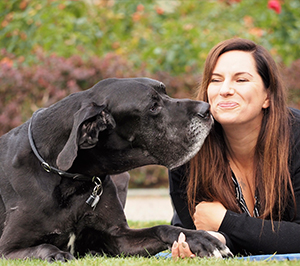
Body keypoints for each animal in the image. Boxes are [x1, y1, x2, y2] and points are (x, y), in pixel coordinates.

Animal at [0, 78, 231, 260]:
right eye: (153, 106)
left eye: (164, 92)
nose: (206, 109)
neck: (73, 180)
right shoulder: (8, 249)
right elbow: (43, 247)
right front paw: (57, 254)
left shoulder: (119, 238)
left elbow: (162, 228)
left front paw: (201, 239)